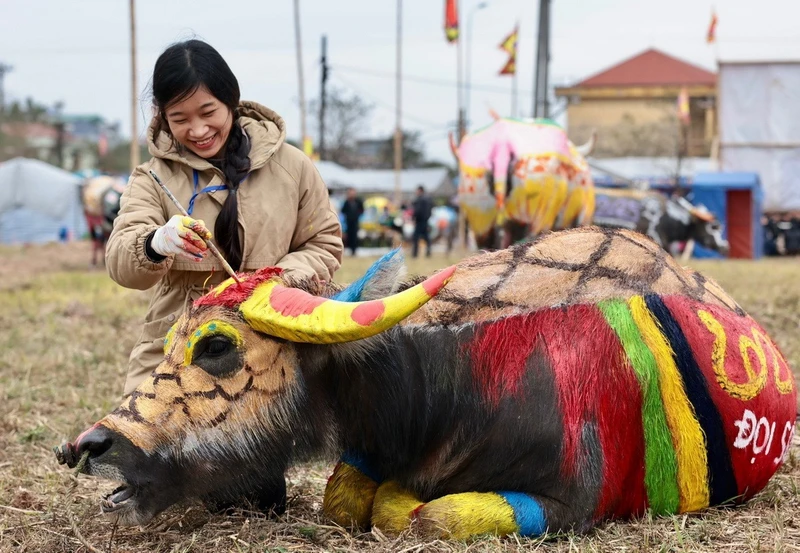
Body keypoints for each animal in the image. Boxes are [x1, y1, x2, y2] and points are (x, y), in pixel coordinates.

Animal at [56, 227, 792, 540]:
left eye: (216, 345)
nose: (89, 445)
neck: (443, 385)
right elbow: (345, 498)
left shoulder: (569, 501)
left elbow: (427, 513)